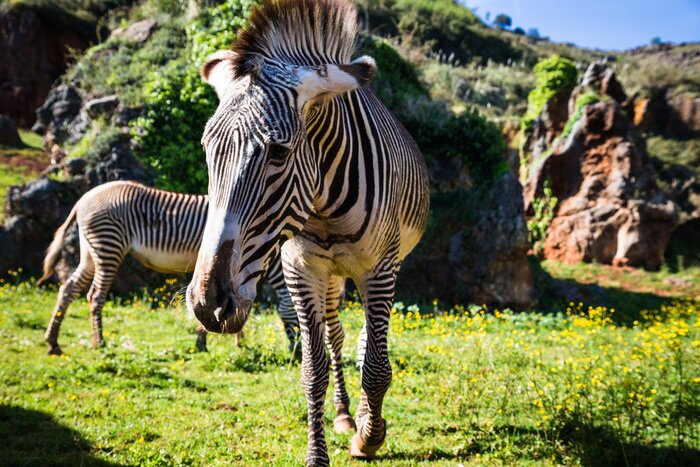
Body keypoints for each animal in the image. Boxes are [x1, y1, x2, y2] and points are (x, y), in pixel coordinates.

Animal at [37, 180, 298, 356]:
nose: (295, 354)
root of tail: (84, 199)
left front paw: (237, 341)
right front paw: (206, 343)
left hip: (91, 251)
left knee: (69, 288)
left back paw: (53, 342)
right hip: (109, 246)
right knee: (95, 295)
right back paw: (98, 342)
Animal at [186, 0, 429, 464]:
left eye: (279, 153)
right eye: (207, 150)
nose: (209, 302)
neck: (323, 206)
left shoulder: (380, 269)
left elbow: (376, 365)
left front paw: (370, 438)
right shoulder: (300, 267)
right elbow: (312, 367)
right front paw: (321, 451)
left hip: (383, 267)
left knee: (368, 343)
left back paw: (362, 420)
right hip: (330, 275)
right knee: (337, 336)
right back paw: (345, 415)